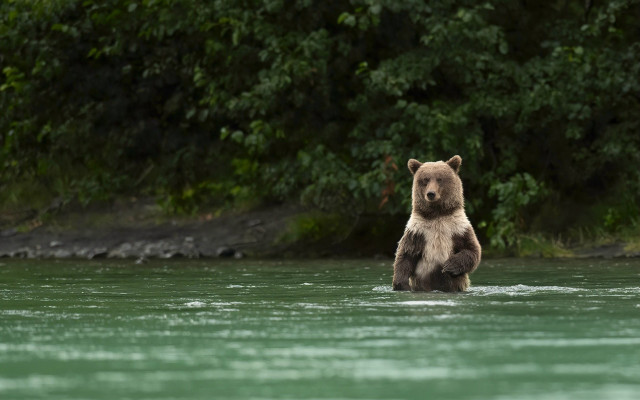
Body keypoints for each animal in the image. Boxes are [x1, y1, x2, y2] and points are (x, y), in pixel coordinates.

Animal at [392, 155, 481, 292]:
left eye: (439, 179)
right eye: (425, 179)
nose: (431, 193)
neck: (437, 214)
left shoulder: (458, 227)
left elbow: (471, 249)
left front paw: (449, 265)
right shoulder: (418, 230)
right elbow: (406, 254)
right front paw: (401, 284)